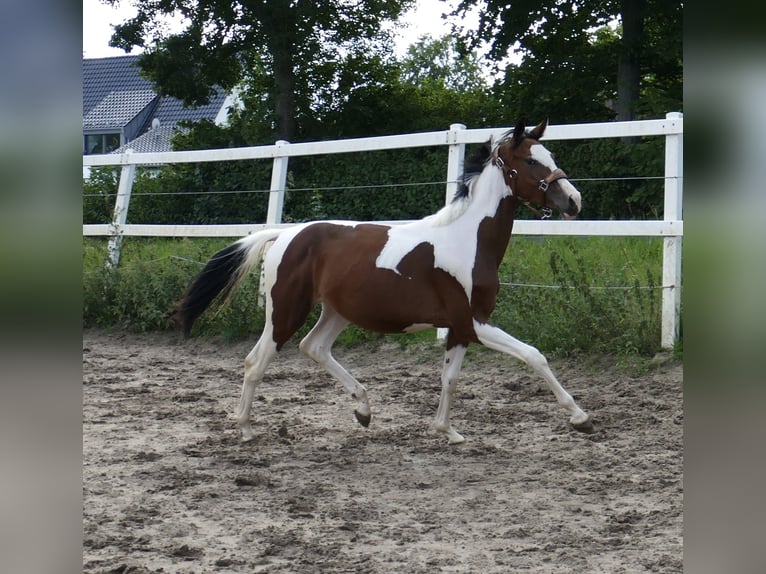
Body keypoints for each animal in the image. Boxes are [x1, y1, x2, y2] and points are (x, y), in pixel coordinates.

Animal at [172, 118, 593, 444]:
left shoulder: (459, 328)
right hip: (285, 312)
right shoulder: (473, 321)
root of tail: (284, 235)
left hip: (336, 311)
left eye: (551, 158)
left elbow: (450, 379)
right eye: (530, 160)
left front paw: (447, 431)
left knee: (314, 347)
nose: (574, 201)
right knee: (255, 361)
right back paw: (245, 429)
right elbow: (534, 355)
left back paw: (363, 409)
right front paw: (580, 416)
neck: (467, 241)